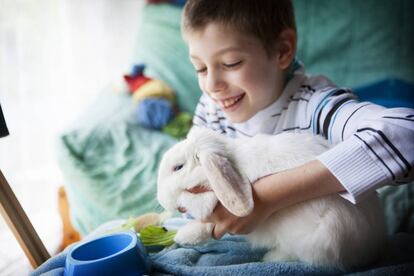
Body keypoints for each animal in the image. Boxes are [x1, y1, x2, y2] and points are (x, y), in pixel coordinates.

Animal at [157, 128, 386, 270]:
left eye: (178, 167)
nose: (160, 200)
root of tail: (370, 248)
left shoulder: (213, 202)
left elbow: (206, 220)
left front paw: (183, 237)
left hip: (315, 236)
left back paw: (272, 257)